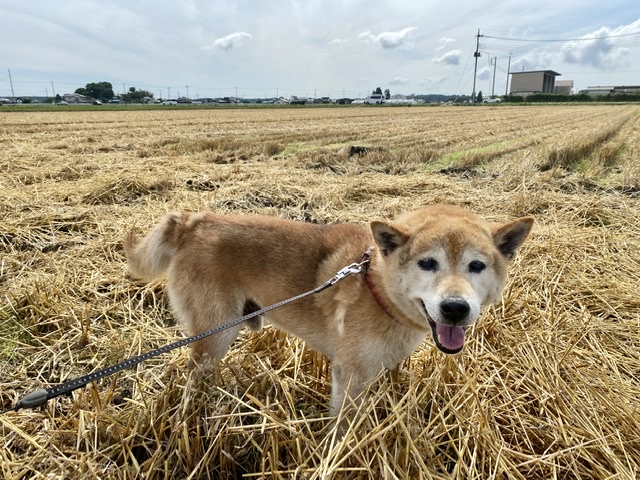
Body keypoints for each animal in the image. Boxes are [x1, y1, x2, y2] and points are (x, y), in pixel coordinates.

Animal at [125, 205, 533, 414]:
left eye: (476, 266)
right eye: (428, 264)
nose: (454, 308)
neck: (377, 288)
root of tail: (195, 222)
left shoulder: (380, 367)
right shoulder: (349, 374)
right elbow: (343, 425)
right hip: (218, 332)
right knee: (195, 372)